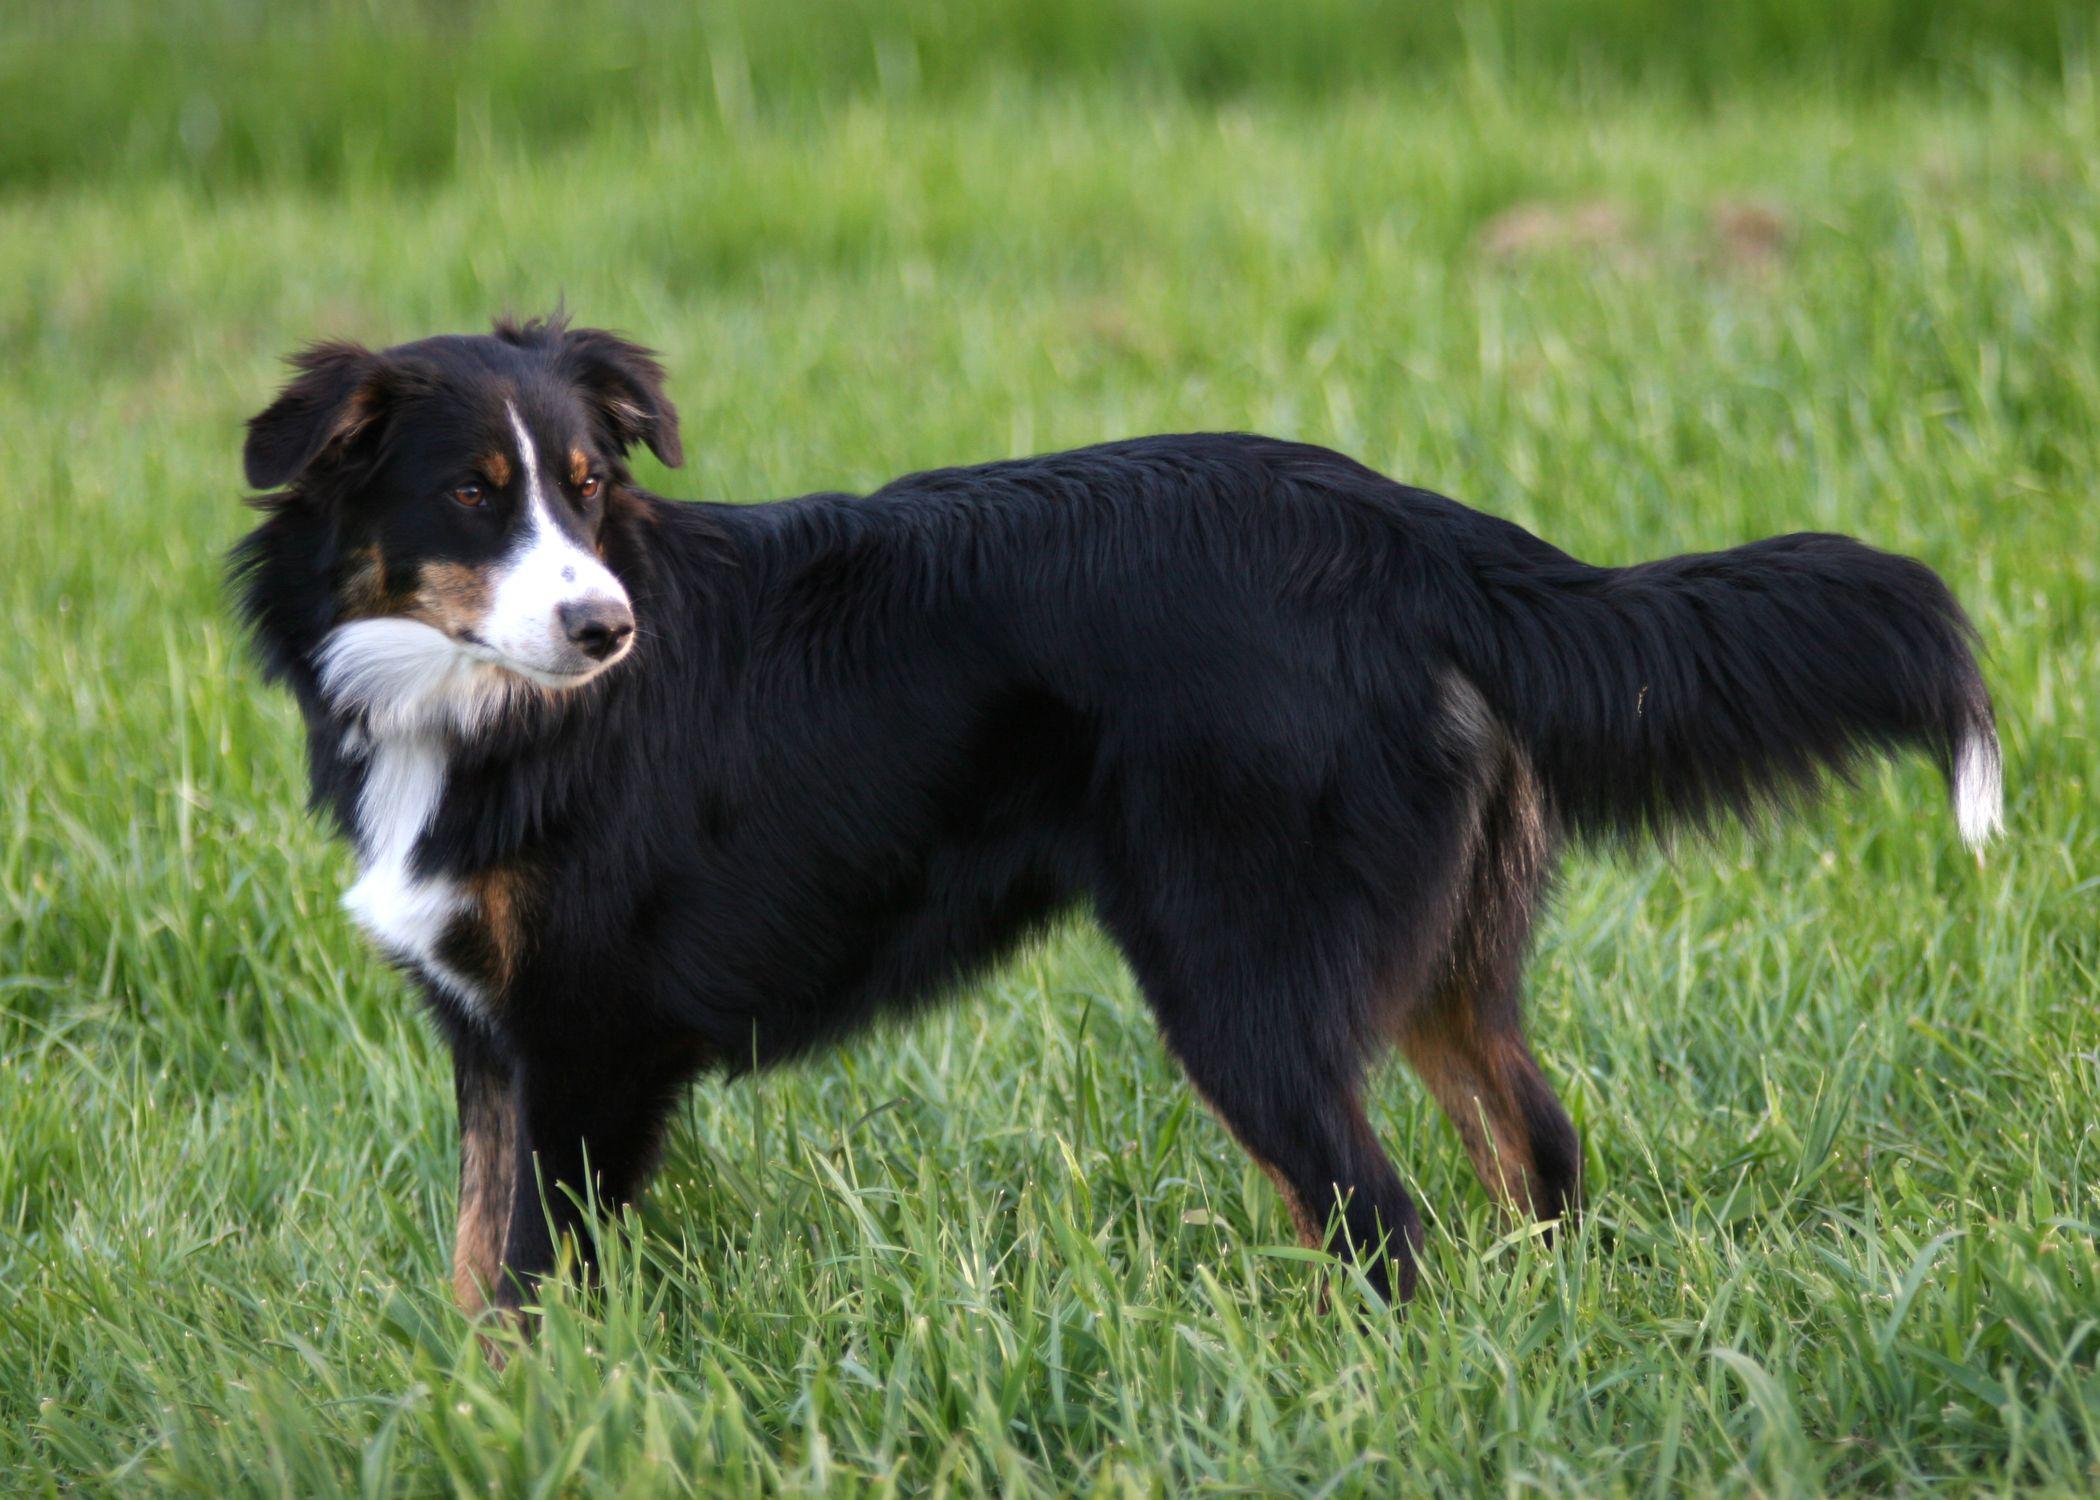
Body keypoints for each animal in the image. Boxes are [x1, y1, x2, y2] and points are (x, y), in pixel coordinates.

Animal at [229, 313, 1999, 1310]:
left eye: (592, 488)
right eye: (476, 495)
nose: (606, 630)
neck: (471, 708)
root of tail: (1409, 534)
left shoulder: (590, 1044)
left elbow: (530, 1288)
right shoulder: (496, 1045)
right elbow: (477, 1268)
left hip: (1240, 977)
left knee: (1379, 1228)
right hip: (1438, 962)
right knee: (1533, 1156)